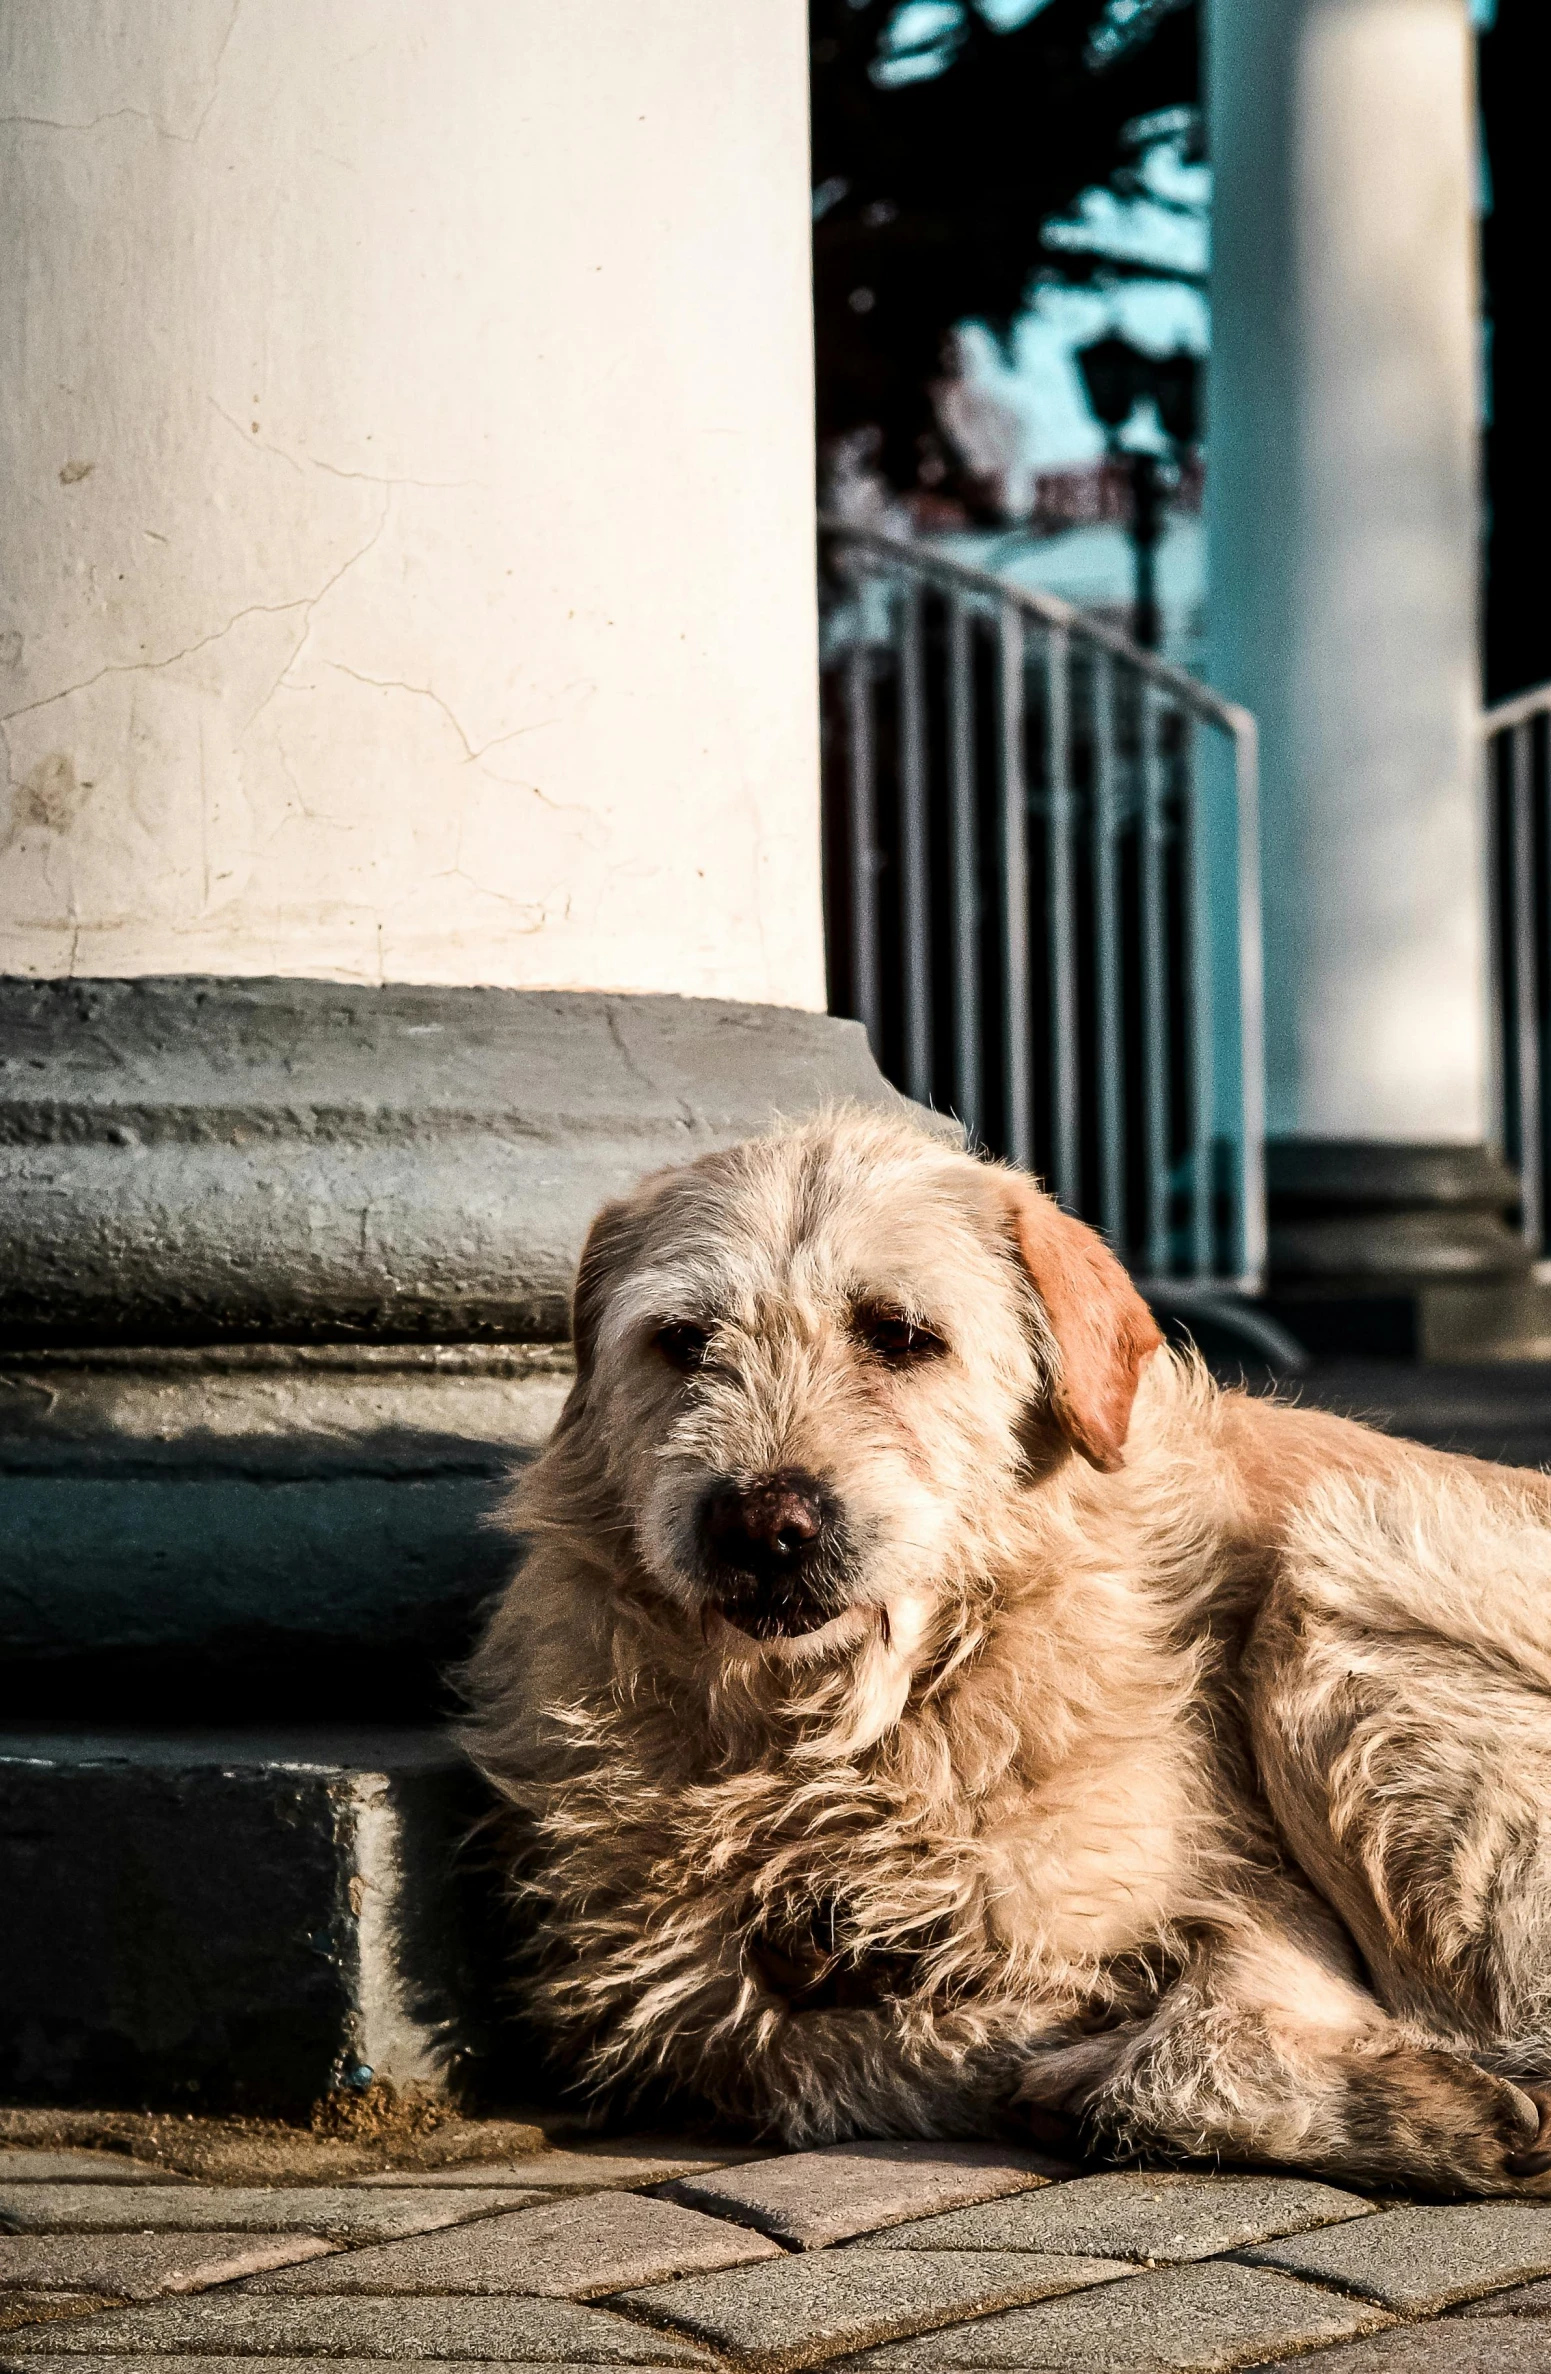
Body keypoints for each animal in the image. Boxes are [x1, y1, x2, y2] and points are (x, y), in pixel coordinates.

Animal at [463, 1106, 1551, 2184]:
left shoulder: (1265, 1913)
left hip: (1340, 1571)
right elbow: (831, 2051)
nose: (760, 1526)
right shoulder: (688, 2004)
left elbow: (1182, 2026)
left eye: (899, 1334)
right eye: (684, 1341)